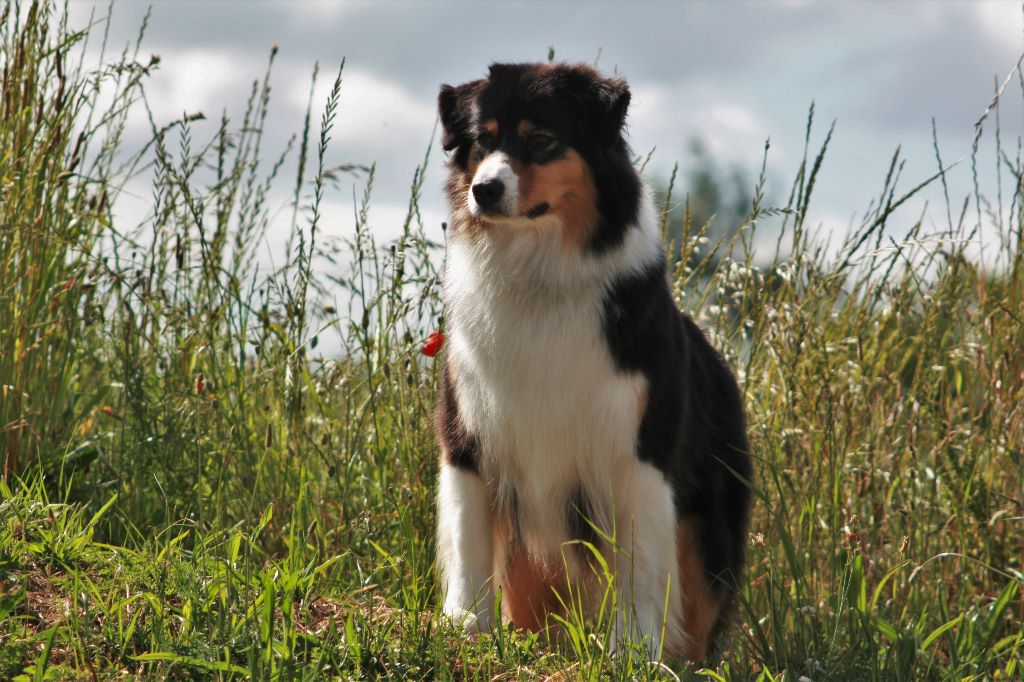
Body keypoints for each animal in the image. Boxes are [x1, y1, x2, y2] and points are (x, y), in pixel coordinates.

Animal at [434, 62, 752, 662]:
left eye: (541, 139)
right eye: (482, 140)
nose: (484, 190)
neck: (537, 278)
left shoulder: (637, 451)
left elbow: (640, 566)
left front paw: (634, 649)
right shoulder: (467, 434)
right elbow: (468, 541)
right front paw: (462, 625)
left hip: (708, 527)